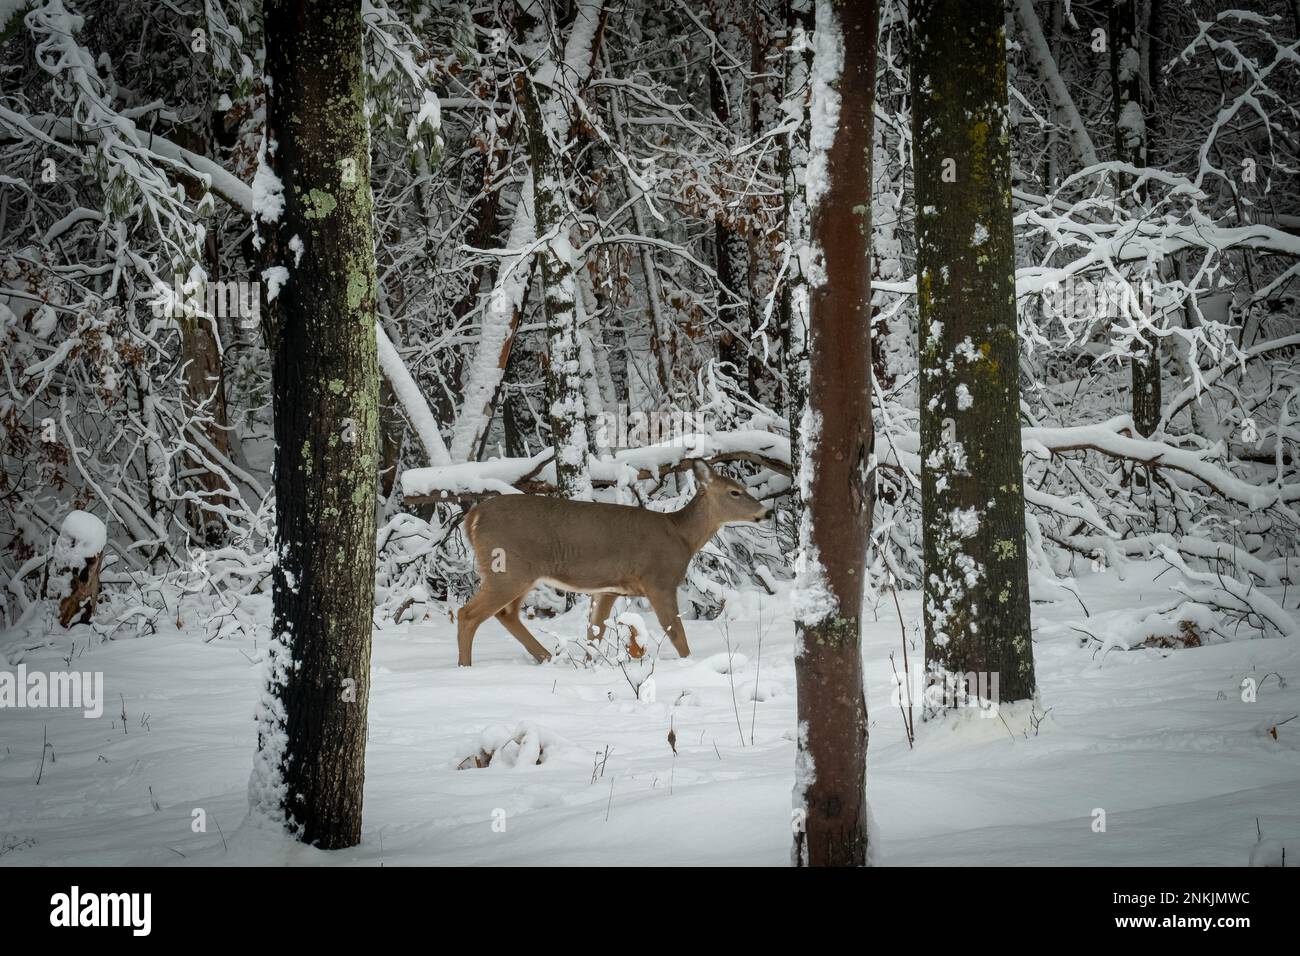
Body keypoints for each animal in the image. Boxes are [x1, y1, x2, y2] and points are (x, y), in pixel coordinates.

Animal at [454, 463, 764, 665]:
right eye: (734, 492)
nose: (765, 511)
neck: (681, 536)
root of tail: (472, 519)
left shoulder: (609, 589)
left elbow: (596, 631)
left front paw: (591, 663)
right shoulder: (659, 580)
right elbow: (675, 631)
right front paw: (690, 664)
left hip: (518, 574)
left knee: (506, 614)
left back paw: (547, 657)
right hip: (508, 568)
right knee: (467, 614)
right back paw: (465, 666)